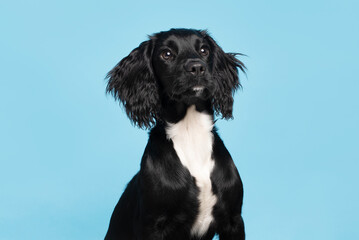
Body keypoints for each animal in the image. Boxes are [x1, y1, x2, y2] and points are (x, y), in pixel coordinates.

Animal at [105, 28, 246, 240]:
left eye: (204, 50)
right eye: (167, 54)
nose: (197, 68)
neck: (191, 133)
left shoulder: (234, 219)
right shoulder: (153, 225)